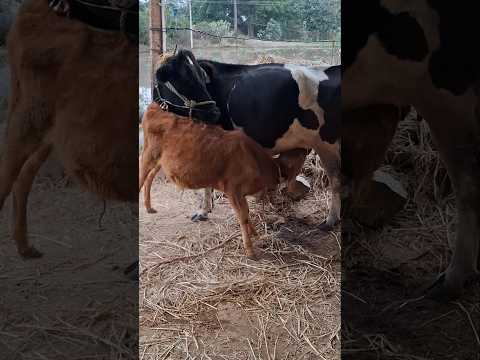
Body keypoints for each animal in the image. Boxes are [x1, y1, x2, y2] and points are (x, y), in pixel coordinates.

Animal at [139, 103, 288, 258]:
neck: (254, 160)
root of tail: (156, 107)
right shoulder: (232, 190)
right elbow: (243, 216)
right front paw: (250, 250)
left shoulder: (241, 193)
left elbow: (247, 212)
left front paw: (255, 233)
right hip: (147, 155)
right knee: (141, 178)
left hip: (160, 161)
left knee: (149, 178)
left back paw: (149, 207)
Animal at [154, 49, 342, 229]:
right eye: (183, 80)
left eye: (200, 78)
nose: (215, 112)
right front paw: (205, 210)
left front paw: (205, 210)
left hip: (327, 143)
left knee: (336, 180)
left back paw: (331, 220)